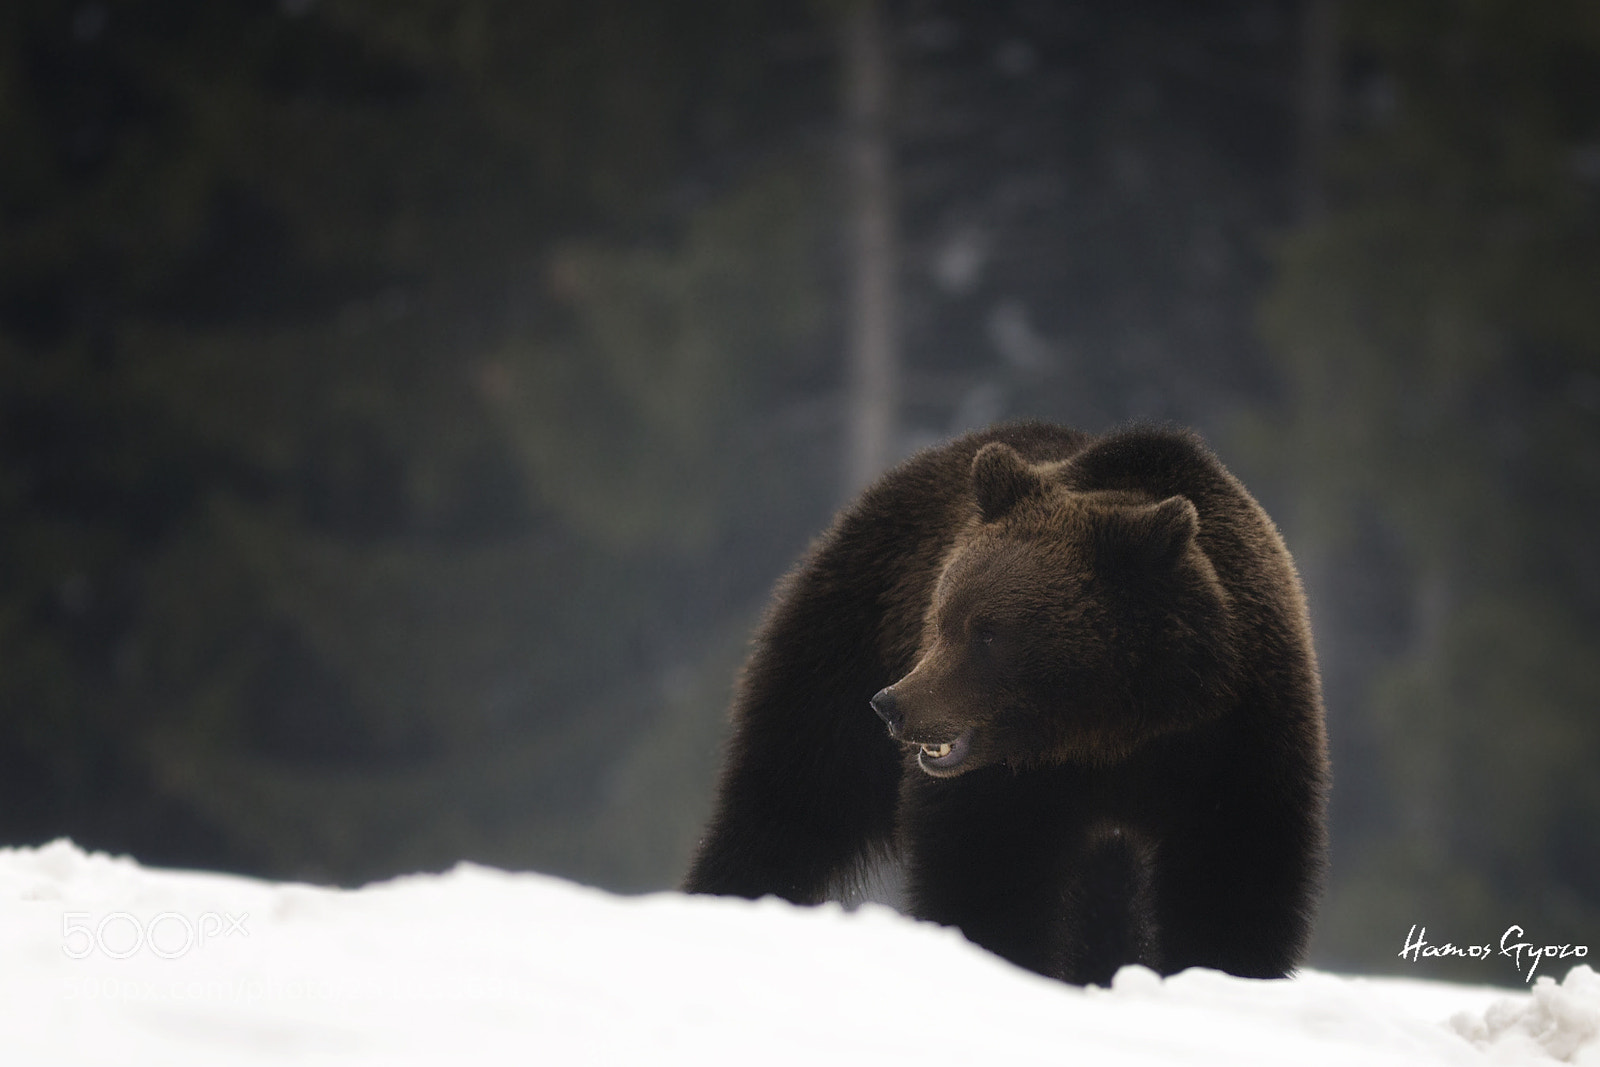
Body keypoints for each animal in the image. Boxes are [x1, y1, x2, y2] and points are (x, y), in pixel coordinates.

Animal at [683, 422, 1329, 986]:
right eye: (942, 618)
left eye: (989, 633)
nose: (892, 705)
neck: (1114, 729)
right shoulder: (1006, 784)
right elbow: (988, 874)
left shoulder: (1235, 742)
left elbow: (1233, 879)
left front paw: (1224, 973)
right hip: (843, 638)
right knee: (789, 797)